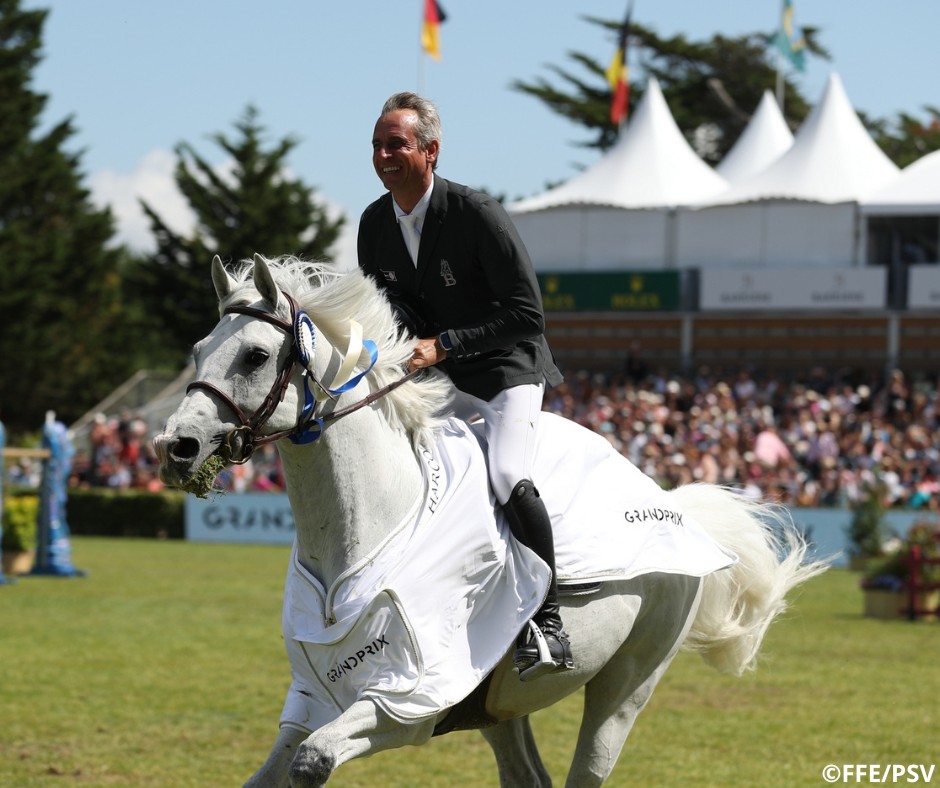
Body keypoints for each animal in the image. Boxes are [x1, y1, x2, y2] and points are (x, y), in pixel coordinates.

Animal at [156, 255, 828, 784]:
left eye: (255, 355)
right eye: (198, 351)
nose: (176, 447)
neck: (369, 528)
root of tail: (673, 502)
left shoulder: (405, 700)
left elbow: (313, 761)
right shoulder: (313, 699)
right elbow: (273, 771)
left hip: (627, 686)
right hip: (499, 703)